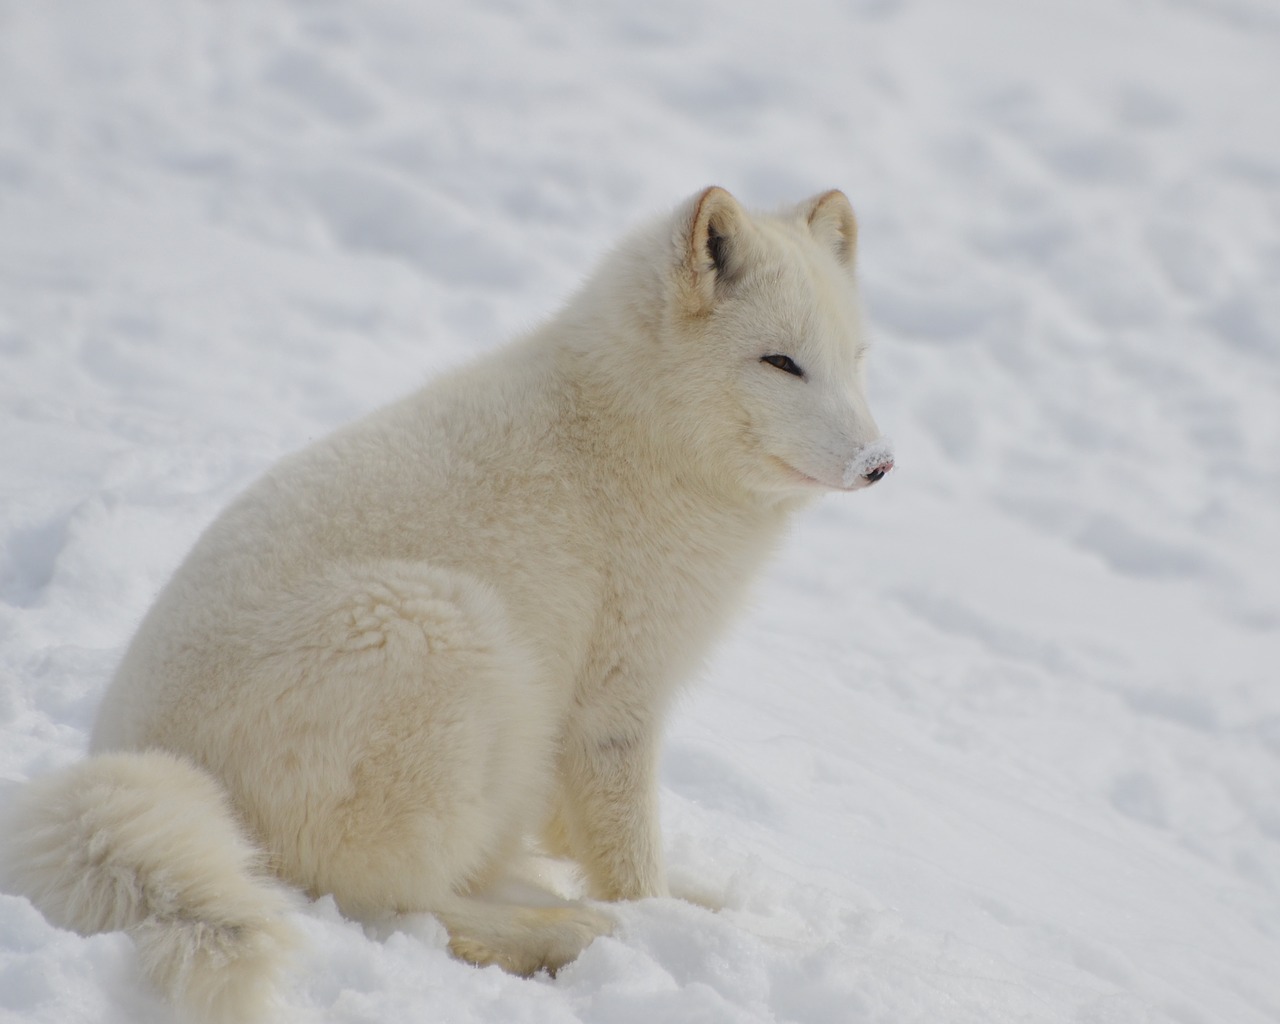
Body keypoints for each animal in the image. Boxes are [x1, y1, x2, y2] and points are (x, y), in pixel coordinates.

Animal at [2, 188, 890, 1018]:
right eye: (781, 363)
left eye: (855, 359)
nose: (879, 464)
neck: (630, 428)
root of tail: (138, 755)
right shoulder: (618, 703)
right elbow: (629, 860)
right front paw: (662, 923)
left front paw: (705, 907)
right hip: (452, 637)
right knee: (398, 907)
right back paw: (564, 938)